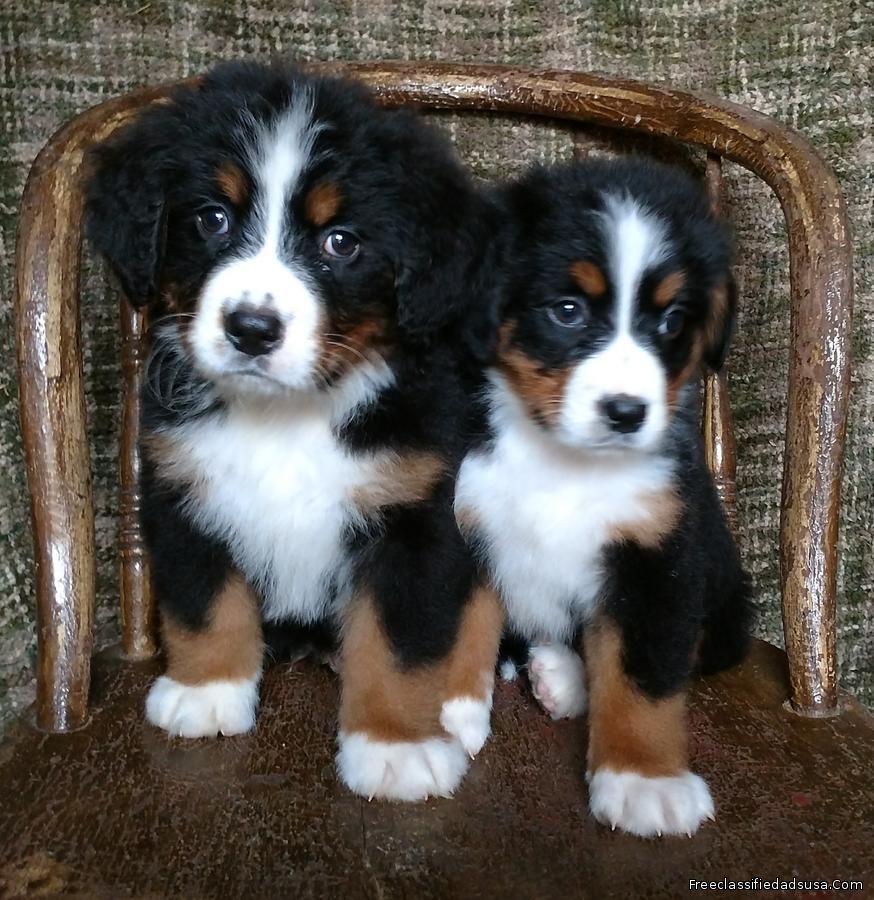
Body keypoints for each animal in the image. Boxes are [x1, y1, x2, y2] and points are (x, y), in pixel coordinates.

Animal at [87, 63, 504, 800]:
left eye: (340, 241)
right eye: (213, 218)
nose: (251, 329)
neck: (287, 416)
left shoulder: (416, 515)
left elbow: (400, 642)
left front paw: (396, 745)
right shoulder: (183, 489)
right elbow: (204, 602)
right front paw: (207, 692)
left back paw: (459, 705)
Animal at [456, 158, 748, 840]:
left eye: (672, 321)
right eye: (567, 310)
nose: (626, 412)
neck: (561, 462)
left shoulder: (659, 559)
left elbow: (643, 677)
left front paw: (645, 781)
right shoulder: (467, 521)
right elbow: (460, 627)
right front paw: (441, 716)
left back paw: (563, 678)